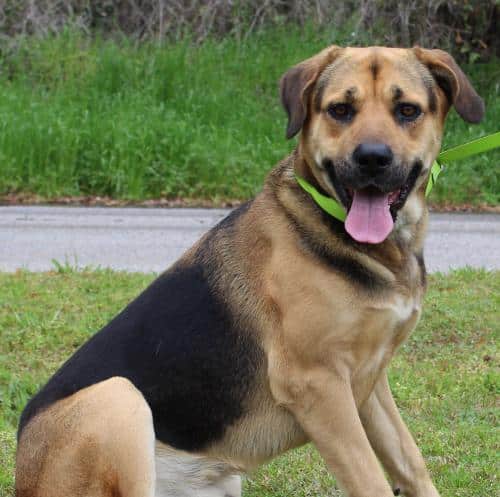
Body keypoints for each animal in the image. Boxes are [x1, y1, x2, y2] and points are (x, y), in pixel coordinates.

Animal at [16, 46, 484, 497]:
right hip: (118, 397)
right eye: (340, 110)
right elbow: (370, 481)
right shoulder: (318, 386)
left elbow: (411, 464)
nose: (371, 159)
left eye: (407, 110)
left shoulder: (371, 384)